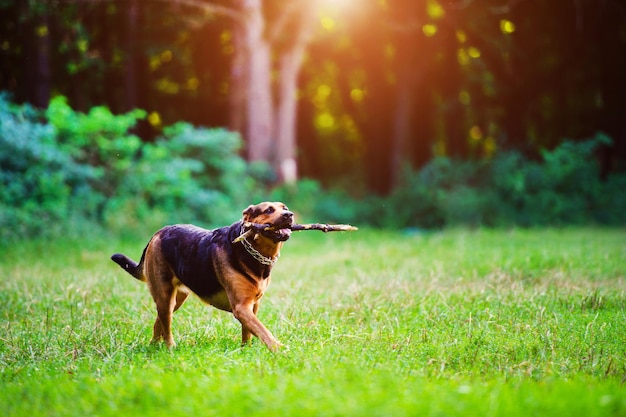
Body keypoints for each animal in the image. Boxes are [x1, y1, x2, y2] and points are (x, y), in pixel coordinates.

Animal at [110, 200, 294, 350]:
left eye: (285, 208)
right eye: (269, 210)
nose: (289, 215)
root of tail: (157, 233)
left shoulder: (252, 306)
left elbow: (249, 331)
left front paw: (245, 349)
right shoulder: (241, 307)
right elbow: (263, 330)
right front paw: (279, 349)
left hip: (177, 299)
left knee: (159, 322)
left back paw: (153, 347)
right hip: (164, 295)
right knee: (166, 326)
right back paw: (170, 348)